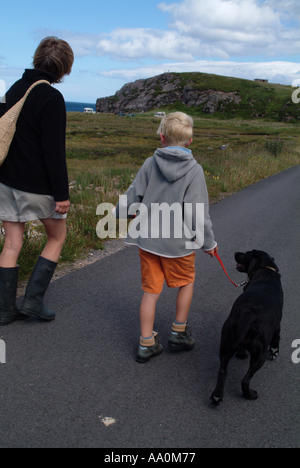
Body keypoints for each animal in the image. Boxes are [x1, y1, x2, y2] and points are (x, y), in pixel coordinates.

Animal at [211, 250, 284, 404]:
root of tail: (248, 314)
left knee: (223, 372)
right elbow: (277, 338)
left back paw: (217, 396)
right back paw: (250, 395)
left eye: (246, 253)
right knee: (245, 380)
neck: (266, 269)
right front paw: (274, 352)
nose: (236, 252)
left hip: (226, 344)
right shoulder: (277, 324)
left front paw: (241, 354)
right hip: (259, 355)